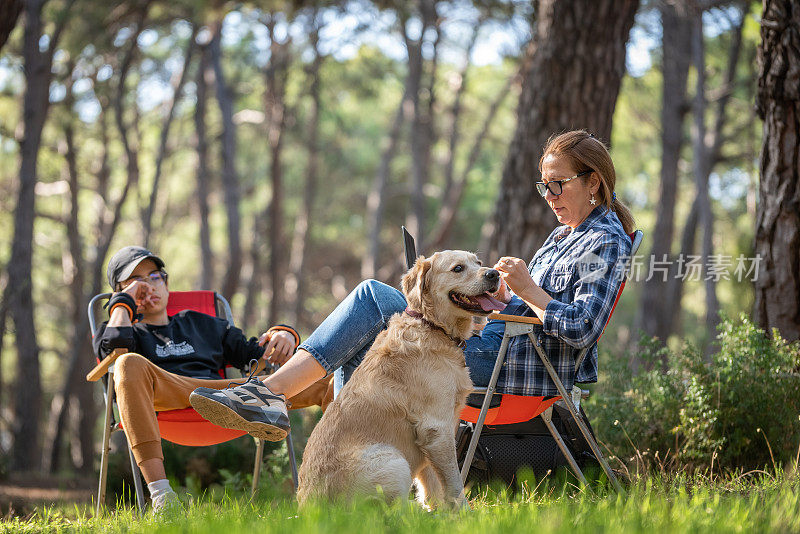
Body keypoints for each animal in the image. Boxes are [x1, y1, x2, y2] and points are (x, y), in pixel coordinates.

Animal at [296, 252, 504, 510]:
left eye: (478, 263)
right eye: (458, 268)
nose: (494, 274)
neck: (432, 326)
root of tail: (307, 508)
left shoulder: (434, 436)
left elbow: (434, 484)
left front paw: (444, 513)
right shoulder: (437, 427)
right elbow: (454, 481)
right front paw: (464, 512)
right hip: (393, 461)